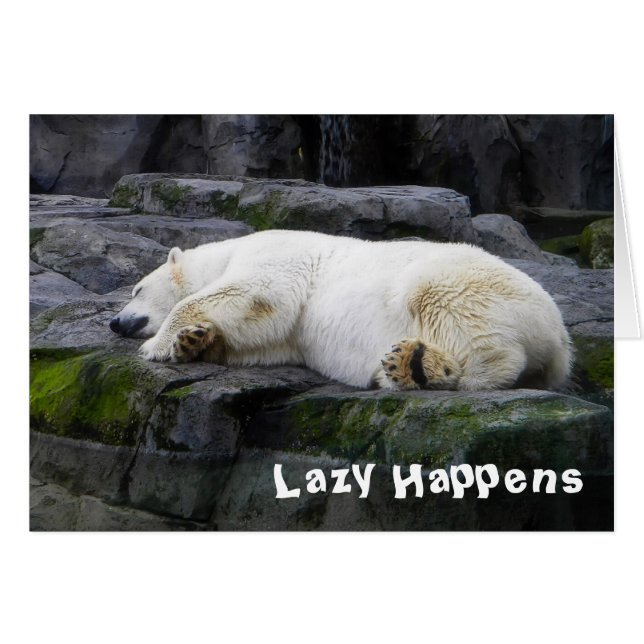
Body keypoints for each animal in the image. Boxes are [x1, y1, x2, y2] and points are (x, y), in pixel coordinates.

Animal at [110, 230, 572, 391]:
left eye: (137, 288)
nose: (115, 322)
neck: (226, 252)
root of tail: (560, 338)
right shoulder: (286, 337)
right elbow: (263, 336)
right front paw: (194, 341)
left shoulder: (276, 255)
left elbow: (258, 293)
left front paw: (158, 345)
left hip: (461, 282)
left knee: (450, 311)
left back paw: (425, 369)